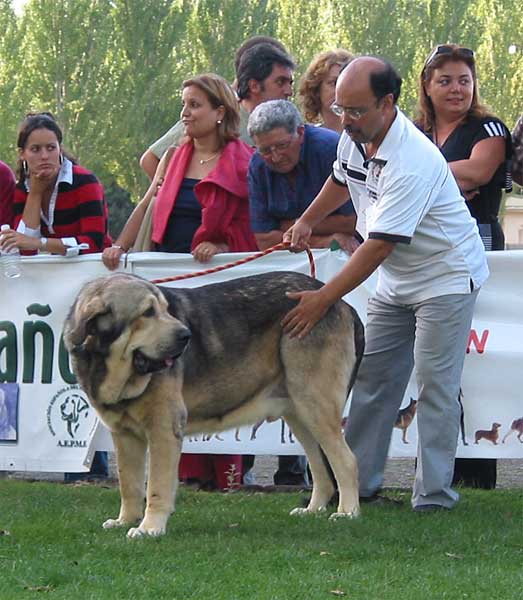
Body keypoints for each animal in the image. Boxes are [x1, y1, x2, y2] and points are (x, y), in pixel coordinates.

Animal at [64, 272, 364, 540]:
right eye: (147, 312)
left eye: (165, 309)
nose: (186, 335)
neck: (109, 365)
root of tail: (340, 302)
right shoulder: (124, 435)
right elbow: (129, 484)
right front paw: (125, 520)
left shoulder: (163, 429)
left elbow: (156, 487)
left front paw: (149, 528)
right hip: (299, 412)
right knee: (320, 465)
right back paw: (313, 510)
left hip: (315, 404)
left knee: (346, 460)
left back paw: (347, 512)